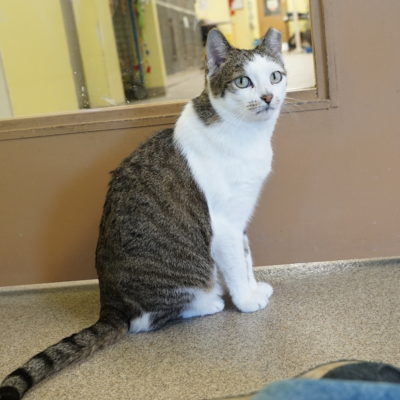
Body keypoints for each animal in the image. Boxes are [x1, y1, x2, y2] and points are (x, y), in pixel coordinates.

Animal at [0, 28, 288, 400]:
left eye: (275, 76)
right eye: (243, 81)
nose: (268, 97)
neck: (245, 135)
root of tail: (108, 303)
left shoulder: (241, 217)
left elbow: (247, 258)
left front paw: (253, 289)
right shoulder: (224, 224)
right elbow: (237, 266)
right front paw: (246, 301)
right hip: (180, 275)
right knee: (145, 320)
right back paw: (208, 302)